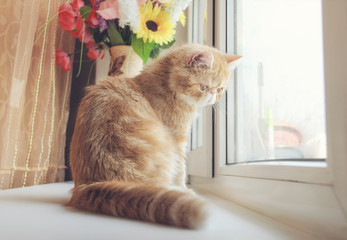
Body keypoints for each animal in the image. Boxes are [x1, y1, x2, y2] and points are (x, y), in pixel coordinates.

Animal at [68, 43, 242, 229]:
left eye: (220, 90)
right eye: (203, 87)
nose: (212, 96)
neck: (165, 84)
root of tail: (90, 184)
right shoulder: (176, 139)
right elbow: (180, 170)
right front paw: (184, 189)